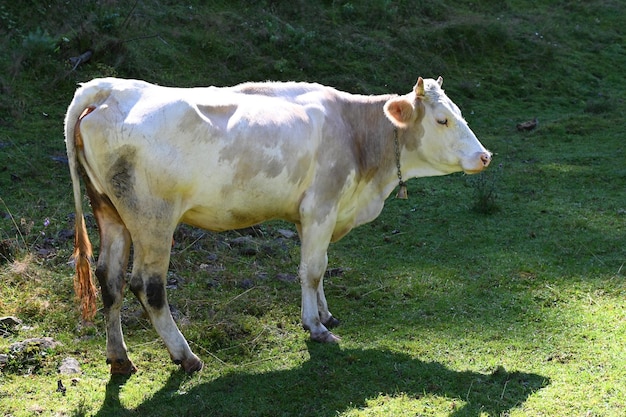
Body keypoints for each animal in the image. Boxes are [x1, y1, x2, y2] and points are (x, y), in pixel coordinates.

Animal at [64, 75, 492, 374]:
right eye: (442, 120)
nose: (485, 155)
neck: (354, 132)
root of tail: (111, 89)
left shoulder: (311, 215)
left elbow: (316, 270)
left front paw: (324, 313)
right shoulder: (321, 206)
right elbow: (313, 269)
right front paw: (315, 327)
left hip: (111, 214)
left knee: (110, 280)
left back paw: (119, 358)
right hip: (154, 220)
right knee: (147, 287)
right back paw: (186, 356)